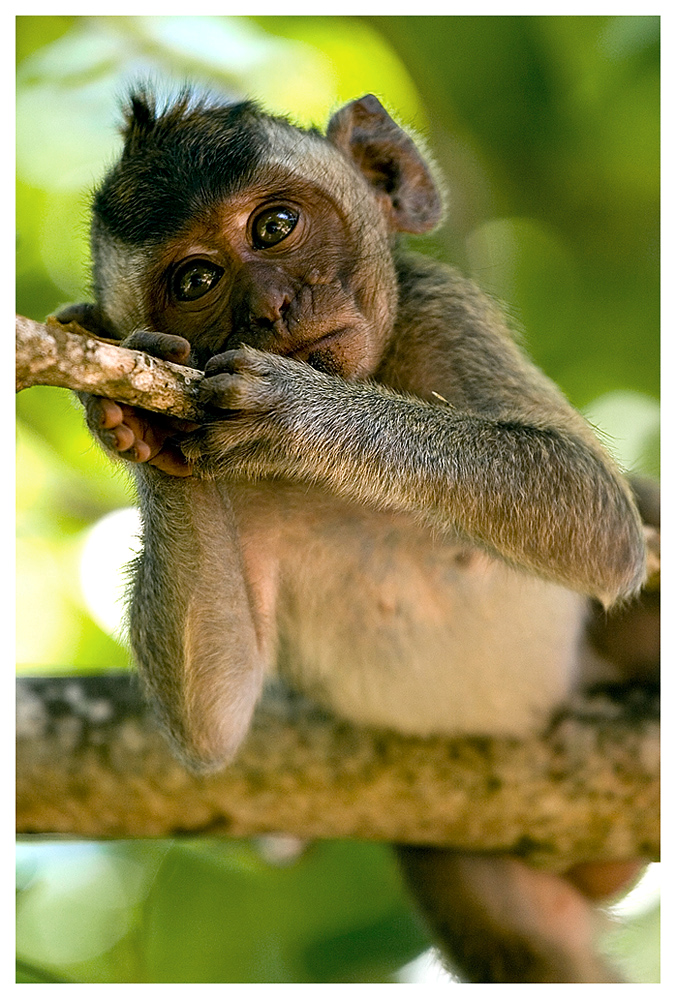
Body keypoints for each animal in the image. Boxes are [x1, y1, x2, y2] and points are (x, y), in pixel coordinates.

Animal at [55, 88, 656, 984]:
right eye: (196, 279)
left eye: (274, 227)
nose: (271, 308)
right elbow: (213, 719)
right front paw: (136, 423)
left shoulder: (440, 312)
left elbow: (597, 516)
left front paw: (298, 413)